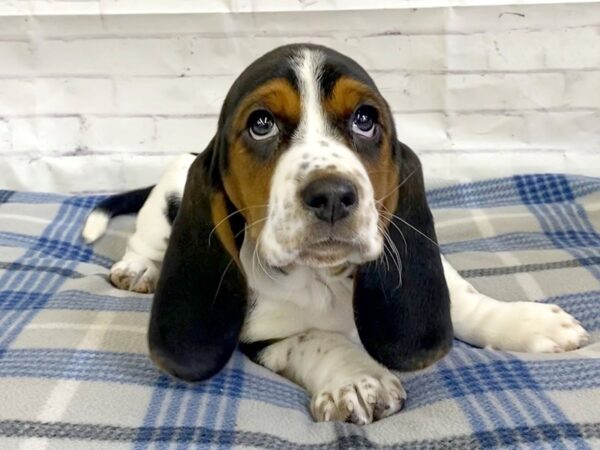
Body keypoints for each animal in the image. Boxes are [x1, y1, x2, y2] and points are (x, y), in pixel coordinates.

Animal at [82, 44, 588, 424]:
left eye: (365, 119)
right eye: (261, 124)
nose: (331, 195)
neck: (324, 278)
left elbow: (463, 299)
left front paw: (527, 322)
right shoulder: (260, 338)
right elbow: (315, 338)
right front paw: (357, 380)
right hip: (166, 195)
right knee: (144, 240)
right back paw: (137, 270)